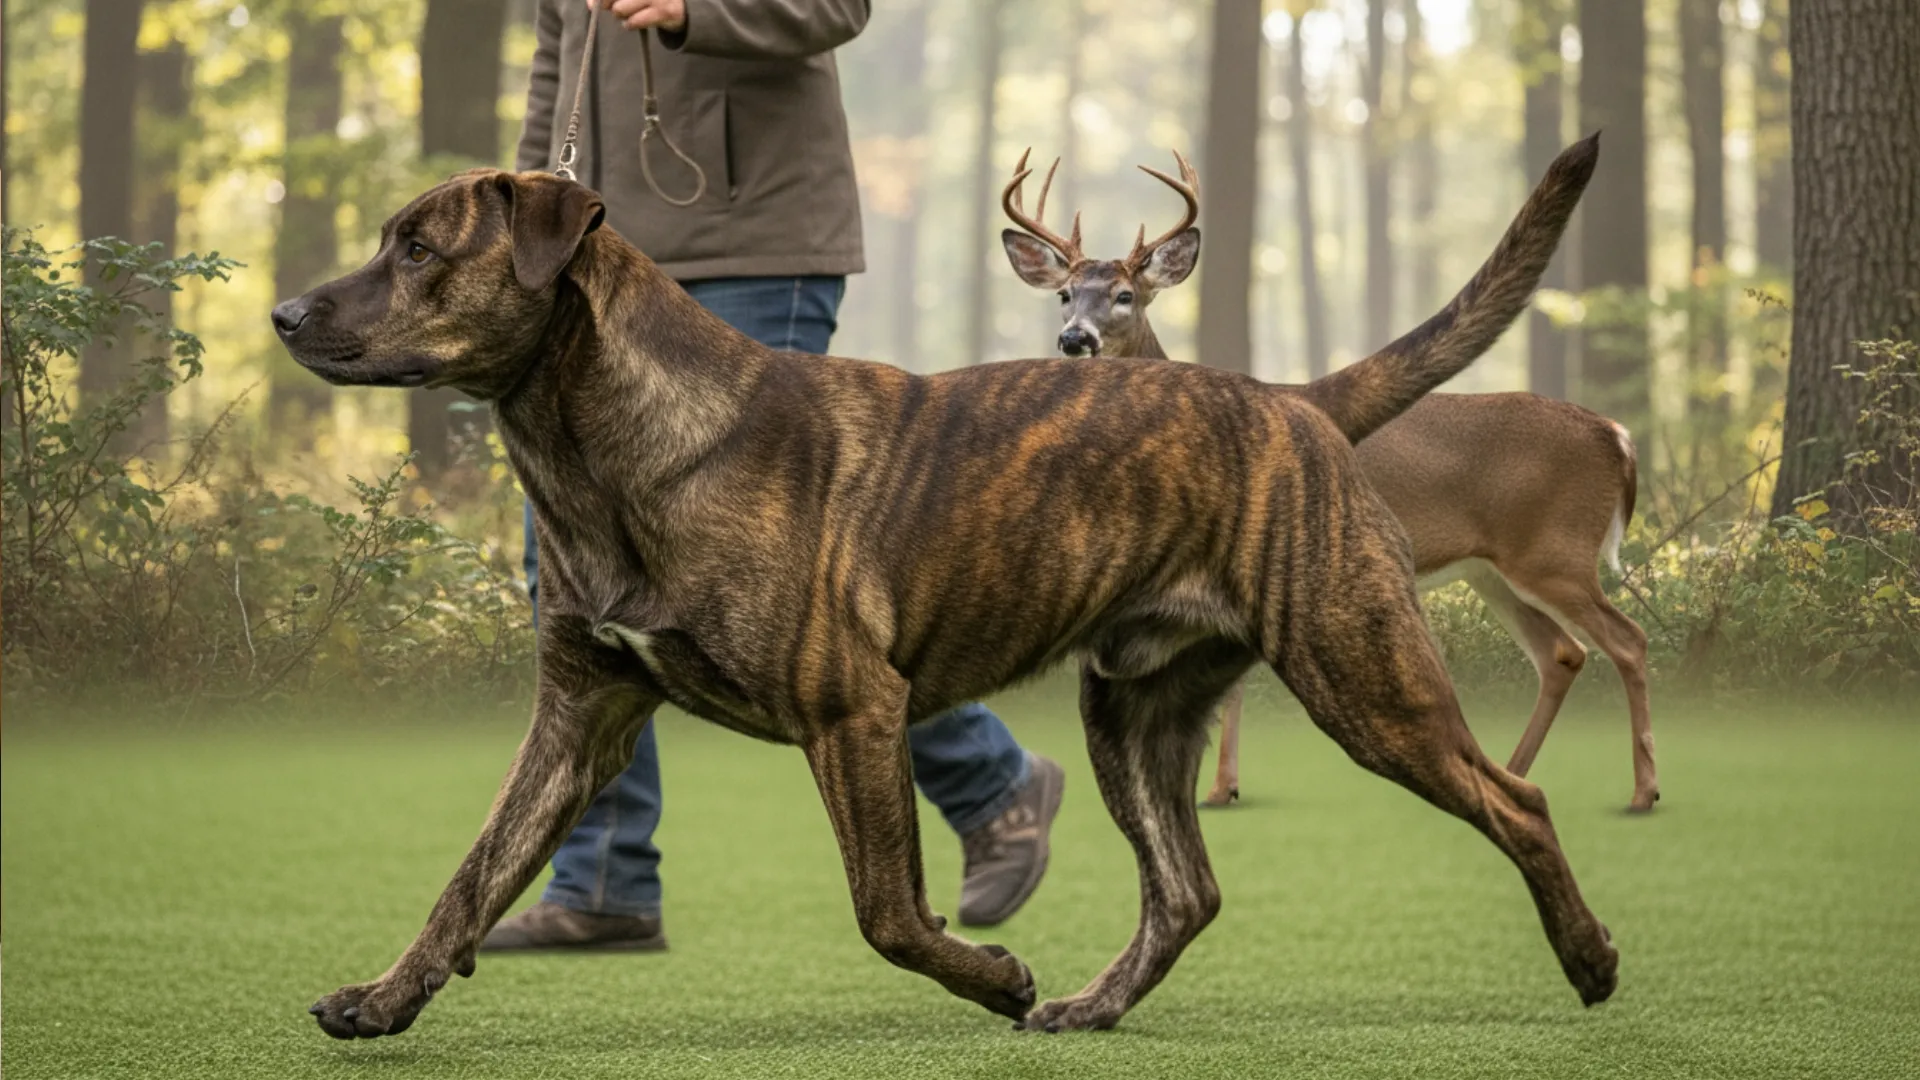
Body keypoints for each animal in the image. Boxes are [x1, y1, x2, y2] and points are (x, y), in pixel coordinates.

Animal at [999, 150, 1658, 813]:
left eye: (1125, 295)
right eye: (1064, 294)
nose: (1074, 339)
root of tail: (1617, 436)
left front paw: (1219, 788)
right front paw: (1224, 785)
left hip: (1555, 551)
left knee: (1627, 639)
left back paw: (1641, 792)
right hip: (1494, 570)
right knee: (1561, 653)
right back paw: (1515, 774)